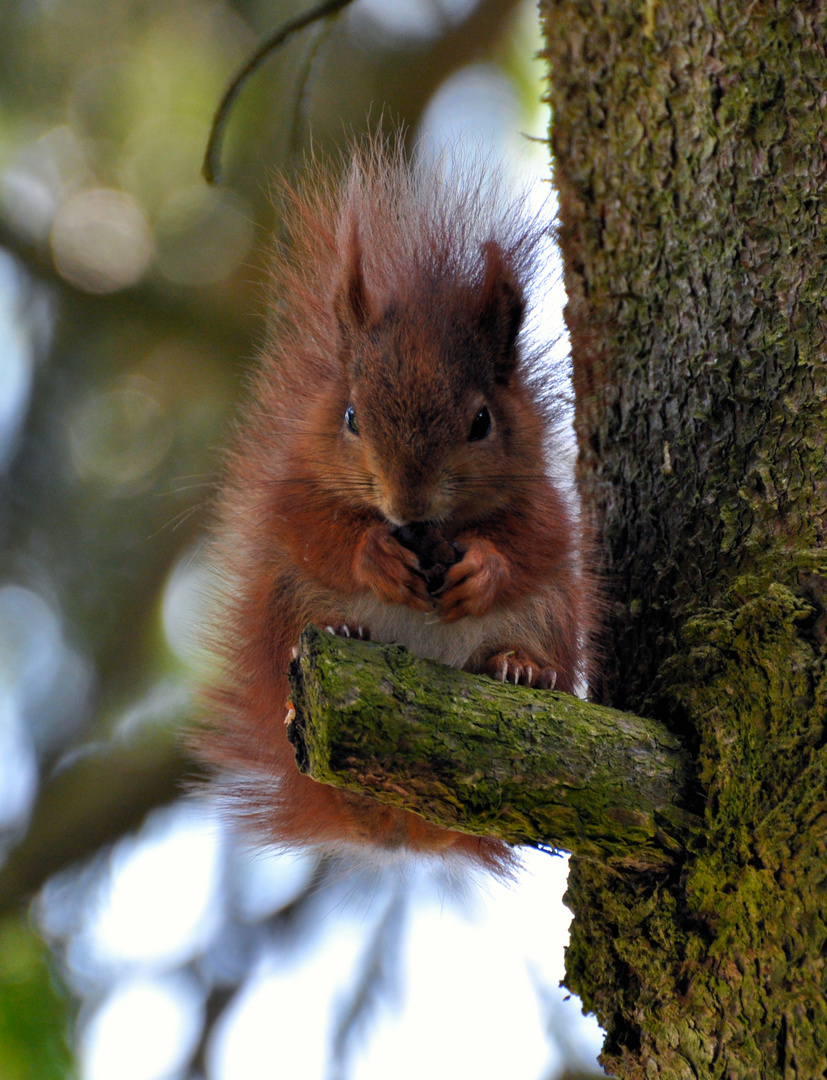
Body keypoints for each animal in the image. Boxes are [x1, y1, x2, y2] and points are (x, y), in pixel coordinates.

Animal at [197, 139, 591, 872]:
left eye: (482, 422)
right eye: (352, 416)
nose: (407, 508)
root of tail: (402, 819)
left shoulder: (541, 498)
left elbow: (534, 541)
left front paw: (481, 569)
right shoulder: (292, 489)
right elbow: (312, 529)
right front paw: (373, 554)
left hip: (554, 611)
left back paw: (519, 666)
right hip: (282, 606)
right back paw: (342, 626)